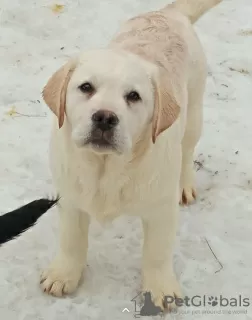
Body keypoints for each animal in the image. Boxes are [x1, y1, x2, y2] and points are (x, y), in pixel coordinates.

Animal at [39, 0, 222, 310]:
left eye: (133, 96)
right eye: (86, 87)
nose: (104, 117)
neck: (106, 168)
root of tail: (168, 12)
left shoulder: (161, 209)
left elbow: (157, 253)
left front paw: (160, 288)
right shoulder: (71, 199)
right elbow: (71, 240)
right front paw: (63, 274)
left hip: (194, 113)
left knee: (187, 151)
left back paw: (184, 185)